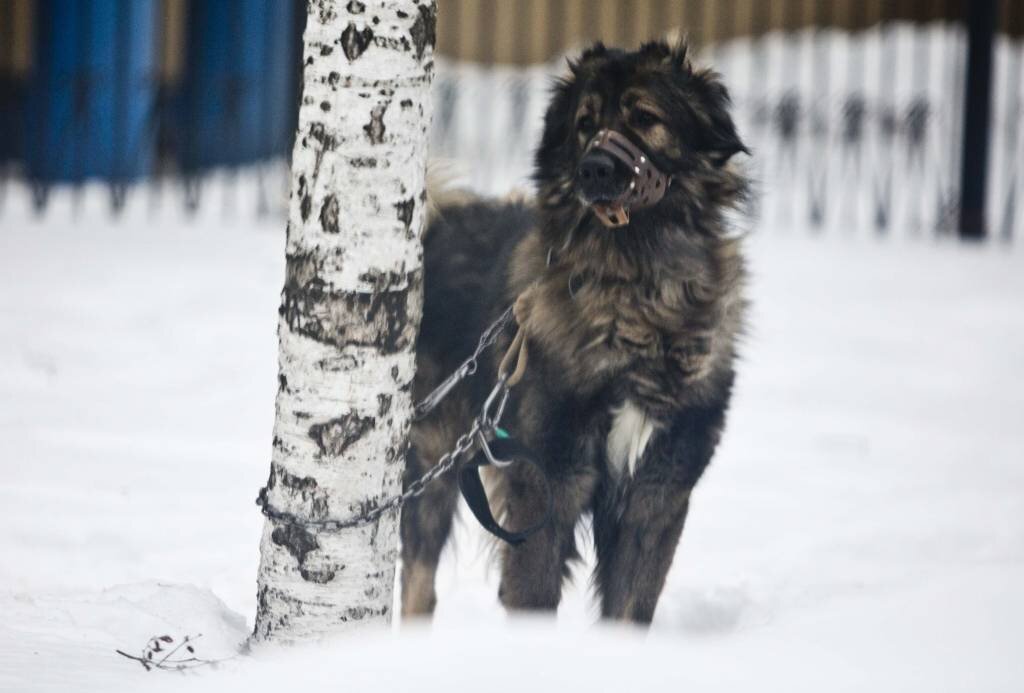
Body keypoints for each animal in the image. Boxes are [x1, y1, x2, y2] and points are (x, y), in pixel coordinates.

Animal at [401, 39, 753, 622]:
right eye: (585, 124)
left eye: (645, 118)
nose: (594, 169)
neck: (635, 295)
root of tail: (439, 226)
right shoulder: (546, 485)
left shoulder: (657, 496)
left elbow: (629, 610)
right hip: (434, 457)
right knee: (418, 583)